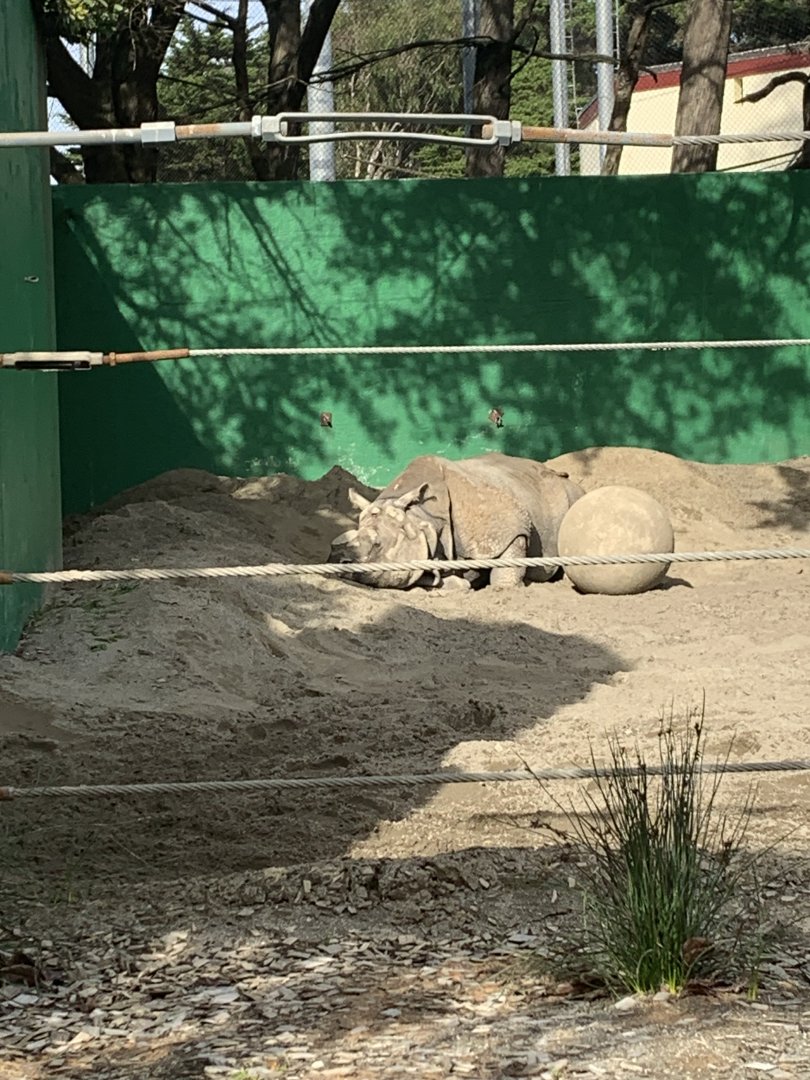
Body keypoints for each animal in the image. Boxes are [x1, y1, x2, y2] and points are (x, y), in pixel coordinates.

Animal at [328, 452, 584, 589]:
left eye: (377, 544)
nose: (339, 562)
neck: (423, 518)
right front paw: (457, 583)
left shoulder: (506, 524)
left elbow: (513, 549)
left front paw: (506, 587)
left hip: (571, 494)